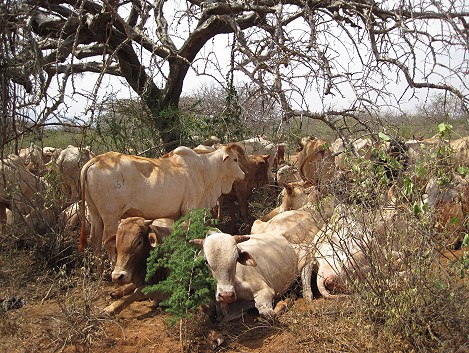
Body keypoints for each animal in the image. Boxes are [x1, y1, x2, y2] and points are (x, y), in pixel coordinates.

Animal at [79, 143, 245, 272]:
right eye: (235, 159)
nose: (243, 174)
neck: (203, 170)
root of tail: (96, 159)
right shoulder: (190, 209)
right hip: (111, 216)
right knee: (107, 241)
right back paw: (113, 267)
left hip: (95, 215)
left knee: (95, 239)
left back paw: (101, 273)